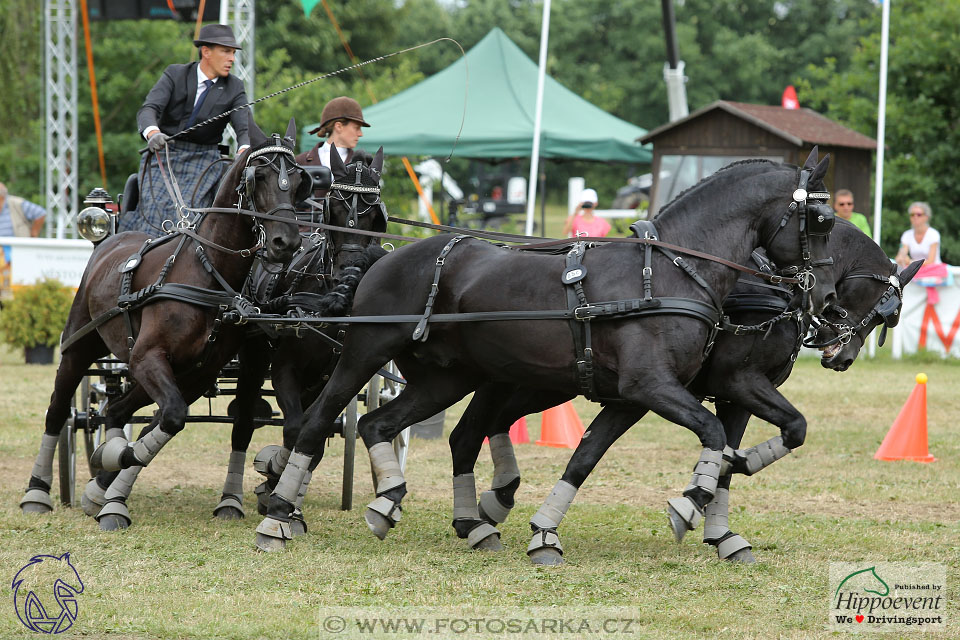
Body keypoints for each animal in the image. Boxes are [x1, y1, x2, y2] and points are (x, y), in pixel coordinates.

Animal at [20, 119, 306, 520]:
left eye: (297, 181)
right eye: (258, 177)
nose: (287, 242)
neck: (205, 271)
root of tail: (111, 239)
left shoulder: (198, 372)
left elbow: (168, 420)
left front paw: (110, 481)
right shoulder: (147, 356)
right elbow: (169, 417)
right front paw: (111, 476)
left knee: (117, 409)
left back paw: (102, 479)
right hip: (79, 347)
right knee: (59, 410)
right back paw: (38, 490)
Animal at [253, 149, 840, 552]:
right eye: (822, 221)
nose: (828, 297)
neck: (670, 270)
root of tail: (380, 257)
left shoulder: (632, 397)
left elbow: (585, 457)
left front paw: (545, 533)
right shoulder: (654, 386)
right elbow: (714, 433)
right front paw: (688, 502)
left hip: (448, 378)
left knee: (383, 425)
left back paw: (394, 502)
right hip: (365, 354)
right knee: (316, 422)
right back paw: (280, 513)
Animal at [450, 222, 924, 564]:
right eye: (887, 309)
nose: (842, 355)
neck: (771, 288)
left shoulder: (732, 397)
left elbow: (739, 456)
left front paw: (722, 528)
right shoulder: (740, 382)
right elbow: (789, 428)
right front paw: (728, 475)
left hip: (542, 381)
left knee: (489, 424)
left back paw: (494, 501)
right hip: (526, 380)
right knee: (473, 429)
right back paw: (487, 507)